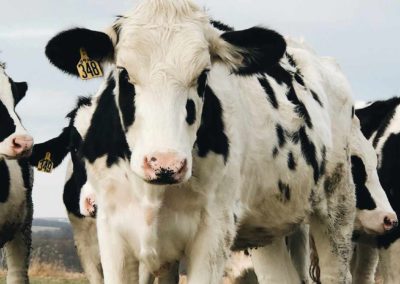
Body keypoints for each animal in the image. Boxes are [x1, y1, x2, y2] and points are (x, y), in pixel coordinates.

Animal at [43, 1, 360, 282]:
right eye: (124, 73)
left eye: (203, 75)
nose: (165, 164)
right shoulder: (112, 233)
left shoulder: (213, 234)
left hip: (338, 204)